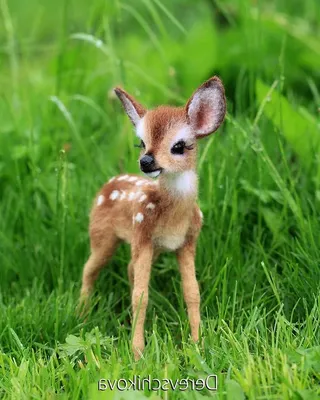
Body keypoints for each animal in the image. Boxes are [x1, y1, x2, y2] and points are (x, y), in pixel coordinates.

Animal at [81, 75, 226, 360]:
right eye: (142, 143)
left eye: (179, 146)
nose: (146, 161)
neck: (173, 217)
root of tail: (107, 184)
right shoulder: (142, 234)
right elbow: (141, 296)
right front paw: (137, 353)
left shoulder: (187, 242)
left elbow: (192, 292)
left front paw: (198, 344)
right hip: (103, 236)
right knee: (89, 269)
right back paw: (81, 315)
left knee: (128, 268)